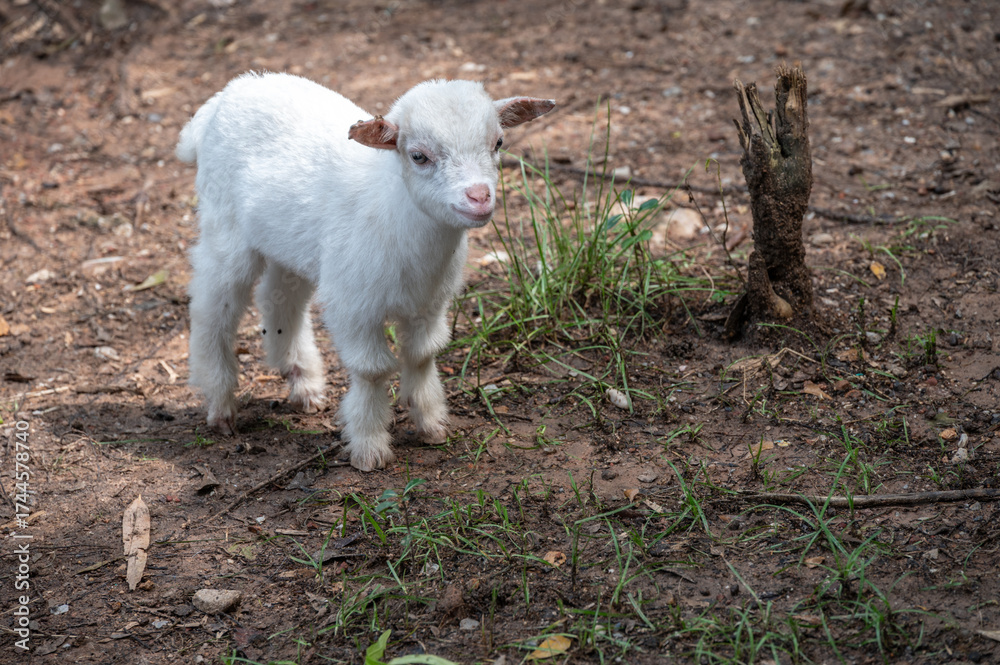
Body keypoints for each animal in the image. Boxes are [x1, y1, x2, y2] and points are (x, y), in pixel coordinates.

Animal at [176, 72, 555, 471]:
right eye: (418, 156)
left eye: (498, 142)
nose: (479, 197)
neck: (395, 208)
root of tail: (225, 95)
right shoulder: (353, 304)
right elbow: (372, 370)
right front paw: (370, 446)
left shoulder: (430, 302)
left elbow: (422, 354)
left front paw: (431, 424)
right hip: (226, 228)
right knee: (212, 305)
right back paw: (220, 405)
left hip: (291, 242)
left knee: (281, 298)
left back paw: (304, 383)